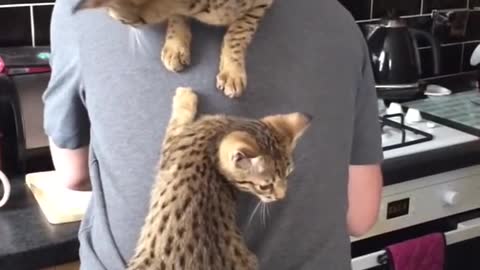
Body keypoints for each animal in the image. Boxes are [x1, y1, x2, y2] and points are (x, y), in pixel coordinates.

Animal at [72, 0, 274, 97]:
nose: (109, 16)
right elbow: (176, 16)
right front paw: (175, 46)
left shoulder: (261, 4)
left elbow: (238, 33)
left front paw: (232, 71)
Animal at [124, 87, 312, 270]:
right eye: (265, 186)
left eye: (287, 175)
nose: (282, 197)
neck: (219, 132)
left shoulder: (172, 143)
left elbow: (177, 121)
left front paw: (184, 97)